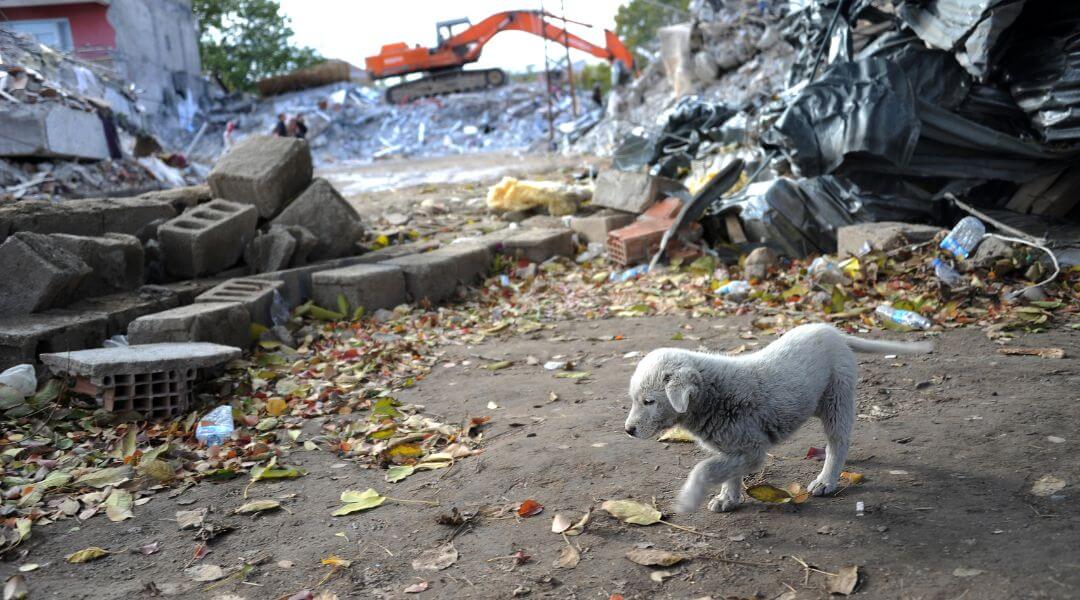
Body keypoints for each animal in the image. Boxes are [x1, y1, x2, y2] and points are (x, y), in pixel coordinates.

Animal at [622, 325, 933, 513]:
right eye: (635, 399)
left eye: (649, 401)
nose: (628, 430)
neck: (712, 394)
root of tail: (834, 332)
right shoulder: (732, 447)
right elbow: (726, 471)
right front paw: (727, 498)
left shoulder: (751, 449)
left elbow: (705, 468)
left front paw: (688, 500)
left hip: (838, 395)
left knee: (838, 441)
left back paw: (826, 480)